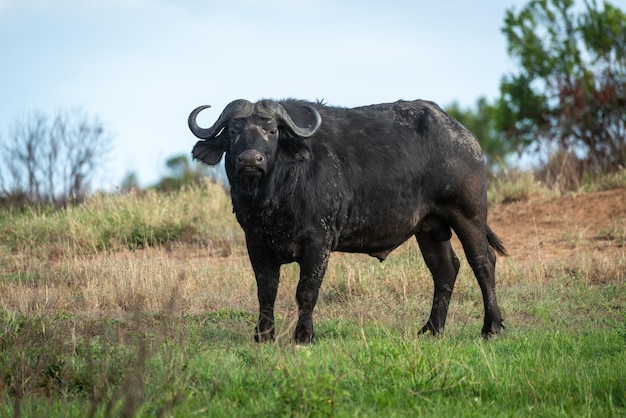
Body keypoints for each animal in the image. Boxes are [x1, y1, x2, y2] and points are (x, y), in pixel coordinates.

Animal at [188, 99, 504, 342]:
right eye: (233, 130)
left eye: (271, 131)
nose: (251, 160)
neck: (276, 195)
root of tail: (465, 137)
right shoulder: (256, 242)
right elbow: (266, 291)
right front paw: (263, 335)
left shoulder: (318, 243)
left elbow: (306, 291)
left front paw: (304, 335)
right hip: (429, 227)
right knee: (445, 269)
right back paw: (431, 329)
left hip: (468, 214)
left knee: (482, 262)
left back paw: (491, 328)